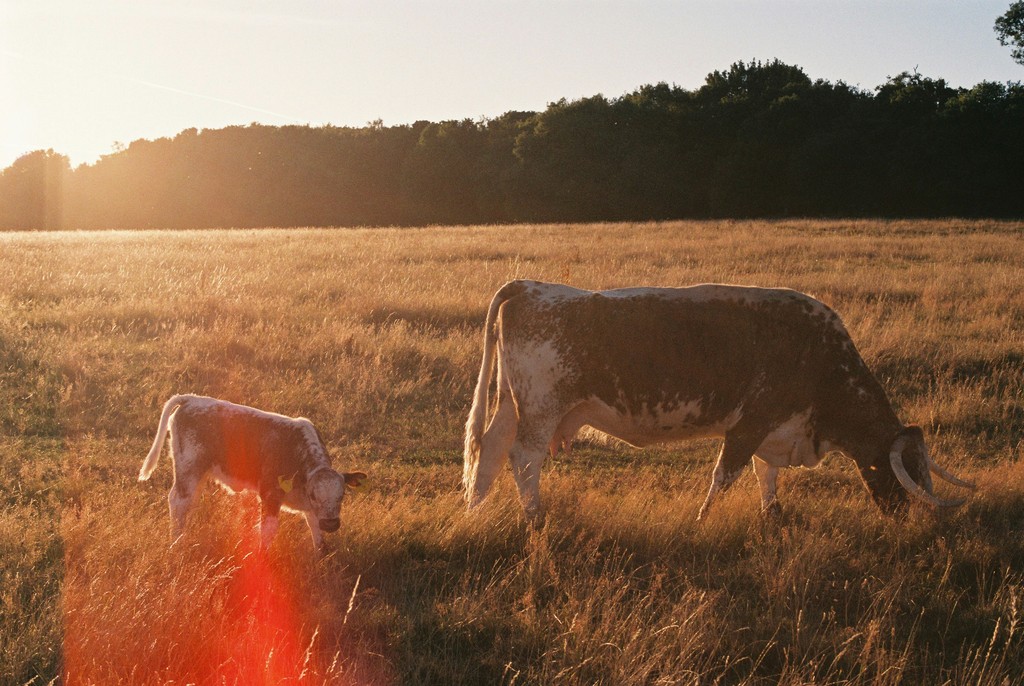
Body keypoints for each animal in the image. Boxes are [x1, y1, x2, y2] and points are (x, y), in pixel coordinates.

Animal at [138, 394, 367, 552]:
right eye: (313, 494)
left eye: (342, 495)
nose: (331, 523)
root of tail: (191, 399)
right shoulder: (270, 495)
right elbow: (268, 530)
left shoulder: (312, 510)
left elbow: (316, 532)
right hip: (189, 468)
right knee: (179, 502)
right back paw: (176, 543)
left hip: (199, 473)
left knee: (189, 503)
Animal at [463, 280, 974, 523]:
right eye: (901, 471)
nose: (909, 518)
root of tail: (529, 285)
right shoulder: (750, 424)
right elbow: (725, 477)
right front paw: (701, 520)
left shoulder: (774, 429)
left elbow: (766, 476)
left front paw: (772, 516)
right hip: (540, 410)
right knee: (524, 460)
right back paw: (534, 519)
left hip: (512, 406)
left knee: (489, 454)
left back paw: (475, 512)